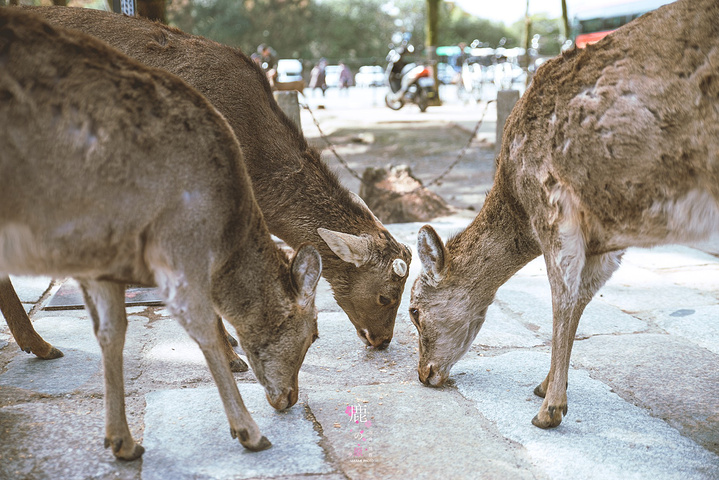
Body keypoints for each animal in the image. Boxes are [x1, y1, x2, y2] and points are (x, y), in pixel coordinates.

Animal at [0, 6, 410, 368]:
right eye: (386, 296)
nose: (381, 340)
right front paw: (230, 358)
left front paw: (230, 340)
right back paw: (39, 344)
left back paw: (38, 345)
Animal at [0, 9, 320, 462]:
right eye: (313, 334)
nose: (290, 398)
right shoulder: (176, 247)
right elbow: (202, 328)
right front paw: (249, 431)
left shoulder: (101, 262)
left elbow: (111, 333)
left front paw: (121, 441)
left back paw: (41, 345)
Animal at [410, 0, 719, 432]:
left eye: (413, 311)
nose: (424, 374)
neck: (517, 202)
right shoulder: (609, 243)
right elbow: (583, 299)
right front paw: (547, 386)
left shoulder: (553, 207)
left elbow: (562, 298)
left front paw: (549, 409)